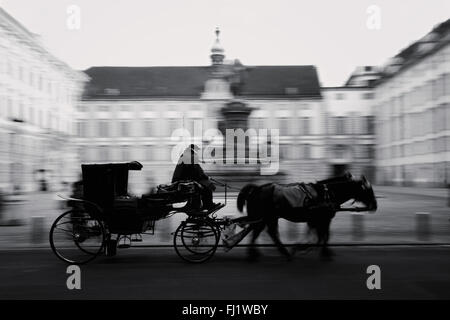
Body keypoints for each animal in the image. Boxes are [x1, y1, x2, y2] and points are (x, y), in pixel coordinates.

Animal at [237, 172, 378, 260]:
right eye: (367, 190)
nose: (375, 206)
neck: (326, 193)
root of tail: (256, 189)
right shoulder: (322, 219)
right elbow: (323, 236)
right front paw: (304, 248)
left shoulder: (318, 220)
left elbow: (322, 236)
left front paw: (320, 250)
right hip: (264, 217)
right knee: (259, 232)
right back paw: (255, 254)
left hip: (269, 218)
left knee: (267, 233)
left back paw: (275, 252)